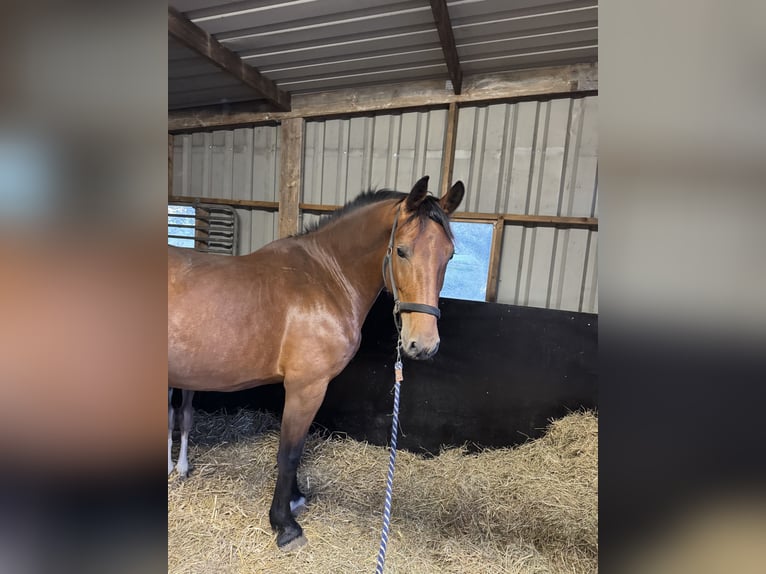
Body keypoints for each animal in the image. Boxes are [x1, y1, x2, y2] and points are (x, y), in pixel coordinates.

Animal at [167, 175, 464, 550]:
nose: (423, 345)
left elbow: (297, 449)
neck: (326, 278)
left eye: (449, 254)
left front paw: (294, 500)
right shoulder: (306, 387)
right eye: (401, 250)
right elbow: (290, 453)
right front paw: (285, 525)